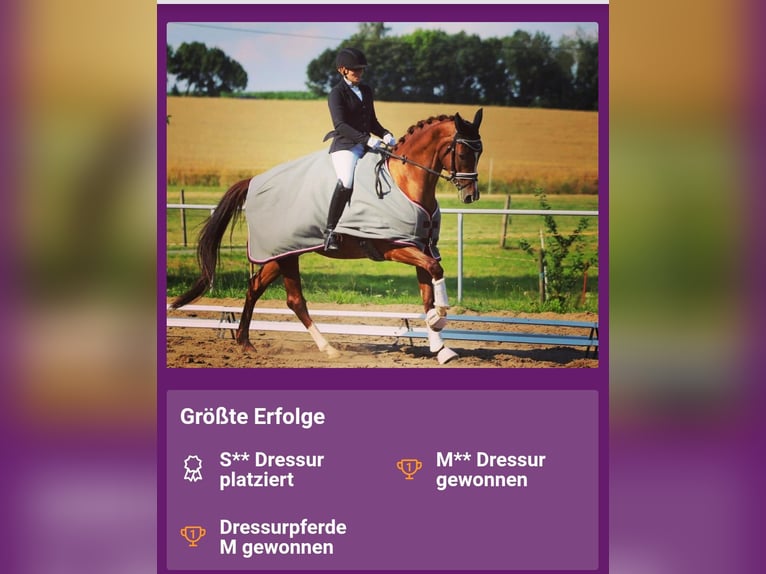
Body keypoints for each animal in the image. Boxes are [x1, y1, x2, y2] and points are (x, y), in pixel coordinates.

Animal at [170, 108, 484, 364]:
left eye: (479, 153)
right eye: (463, 153)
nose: (471, 196)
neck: (405, 182)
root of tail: (254, 181)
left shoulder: (420, 246)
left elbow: (428, 289)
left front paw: (441, 347)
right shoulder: (395, 248)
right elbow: (435, 271)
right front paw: (440, 316)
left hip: (281, 253)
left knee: (254, 286)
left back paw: (245, 343)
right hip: (287, 254)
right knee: (294, 300)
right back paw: (328, 348)